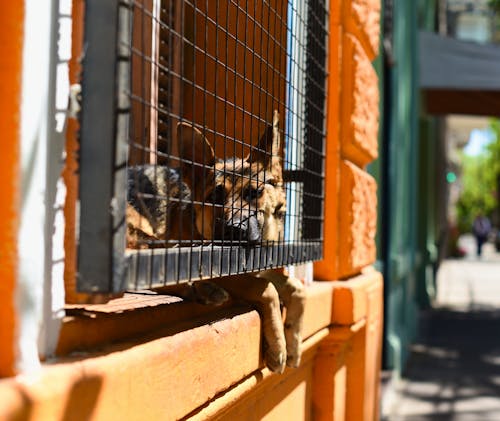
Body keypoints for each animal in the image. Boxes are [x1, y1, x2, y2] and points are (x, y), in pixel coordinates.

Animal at [126, 110, 304, 370]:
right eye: (215, 197)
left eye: (254, 192)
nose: (234, 230)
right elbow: (267, 288)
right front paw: (279, 346)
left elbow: (297, 288)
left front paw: (294, 344)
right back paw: (201, 288)